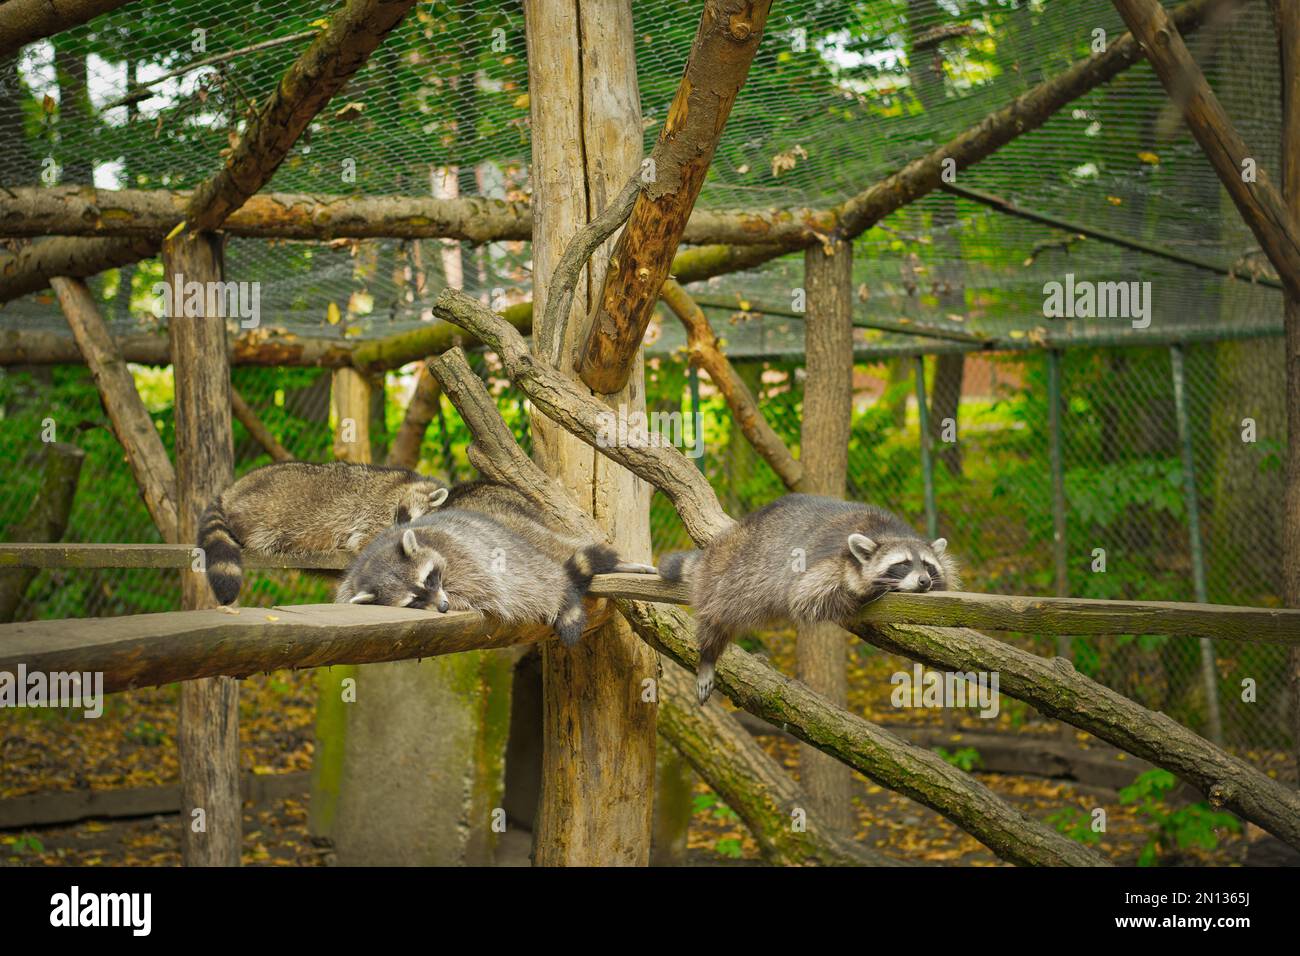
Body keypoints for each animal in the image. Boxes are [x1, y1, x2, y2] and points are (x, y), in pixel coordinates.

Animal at [199, 461, 448, 605]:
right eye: (405, 516)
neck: (407, 483)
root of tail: (234, 489)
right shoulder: (374, 512)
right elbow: (367, 541)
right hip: (269, 506)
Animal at [336, 509, 624, 646]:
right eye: (414, 601)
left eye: (428, 579)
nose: (444, 606)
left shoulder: (462, 555)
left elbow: (478, 588)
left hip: (517, 557)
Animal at [660, 494, 960, 704]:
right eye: (904, 564)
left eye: (928, 566)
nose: (924, 581)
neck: (886, 532)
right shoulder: (825, 565)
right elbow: (806, 595)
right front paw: (869, 589)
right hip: (734, 571)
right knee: (717, 615)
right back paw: (708, 654)